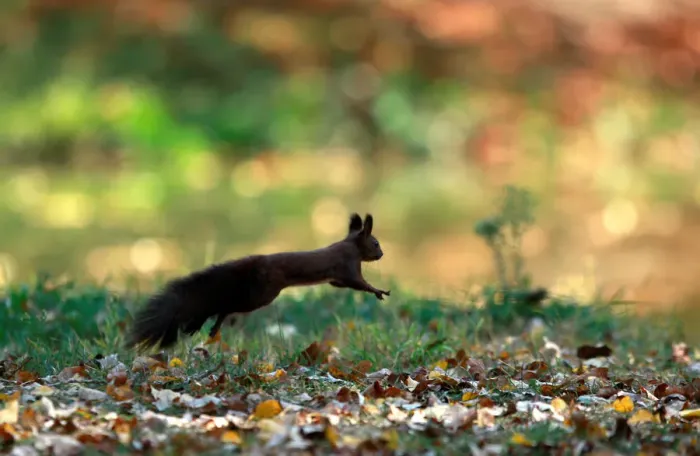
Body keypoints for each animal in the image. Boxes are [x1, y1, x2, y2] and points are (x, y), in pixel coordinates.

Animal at [125, 213, 390, 351]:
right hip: (262, 294)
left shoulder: (338, 277)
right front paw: (379, 291)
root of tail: (257, 263)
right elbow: (360, 283)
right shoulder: (348, 266)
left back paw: (208, 327)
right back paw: (206, 323)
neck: (350, 245)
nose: (381, 254)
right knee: (226, 305)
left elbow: (341, 284)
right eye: (376, 243)